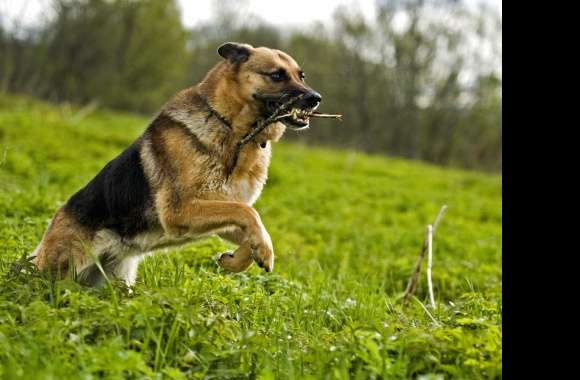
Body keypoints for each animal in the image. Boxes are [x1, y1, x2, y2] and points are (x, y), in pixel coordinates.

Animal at [30, 43, 322, 286]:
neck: (233, 132)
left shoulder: (219, 209)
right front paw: (263, 250)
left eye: (301, 76)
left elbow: (248, 225)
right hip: (64, 269)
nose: (316, 98)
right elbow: (249, 214)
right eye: (277, 75)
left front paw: (239, 258)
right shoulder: (180, 210)